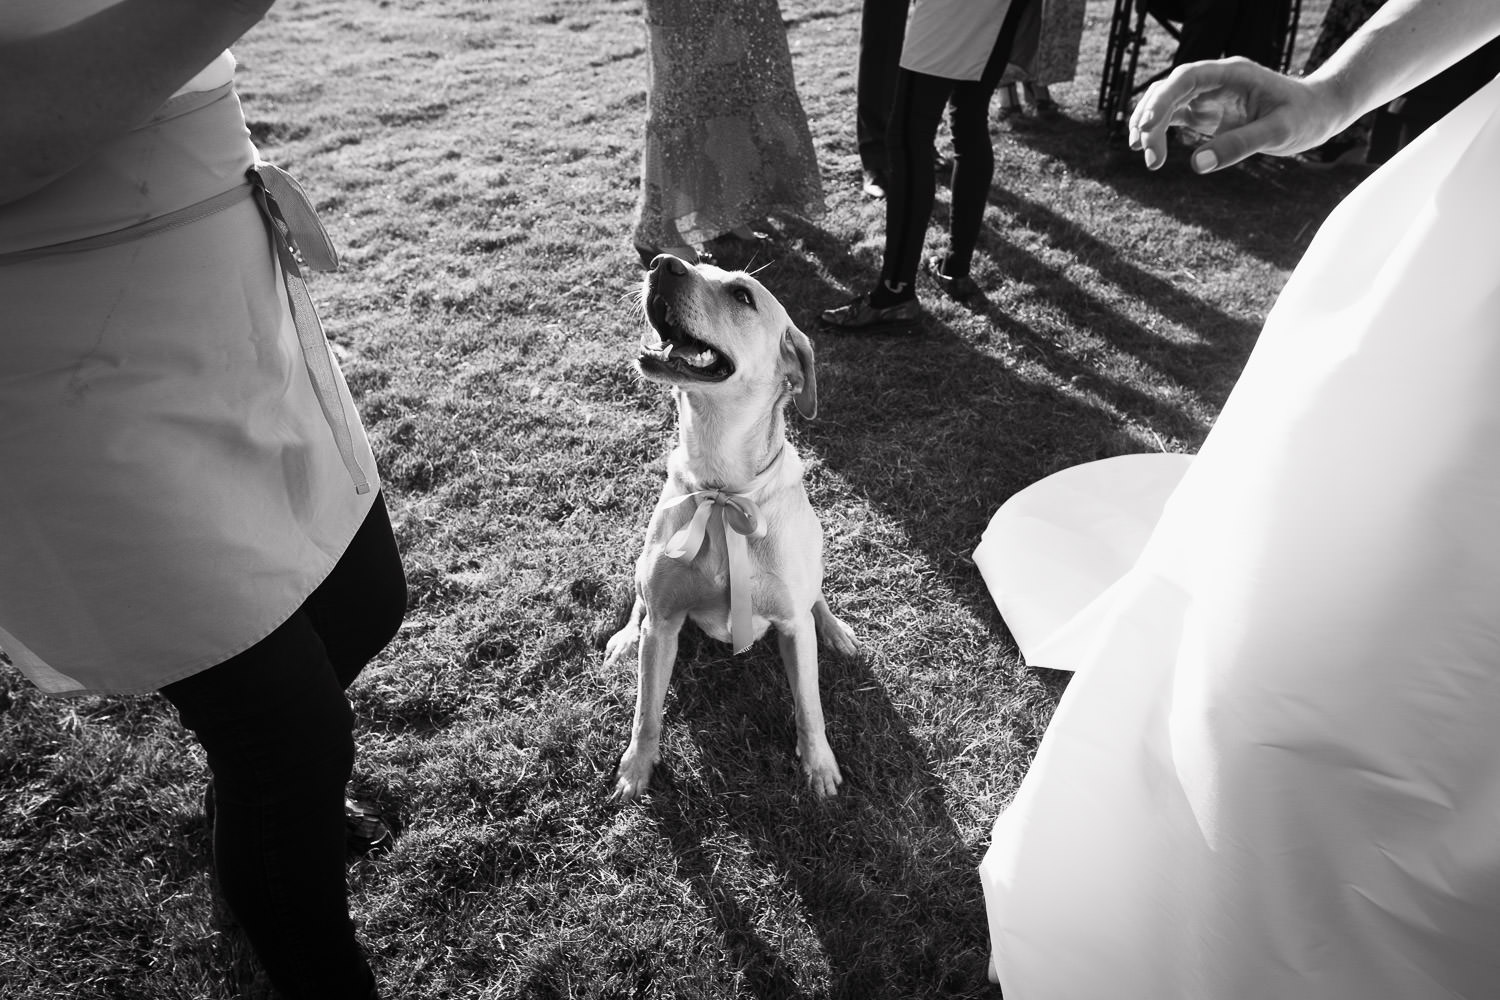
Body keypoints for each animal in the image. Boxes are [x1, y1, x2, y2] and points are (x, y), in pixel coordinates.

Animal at [600, 254, 858, 803]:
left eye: (742, 295)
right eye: (696, 263)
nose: (663, 262)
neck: (722, 486)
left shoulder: (791, 627)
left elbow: (810, 706)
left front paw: (819, 765)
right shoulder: (665, 623)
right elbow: (646, 711)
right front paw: (637, 767)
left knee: (816, 598)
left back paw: (835, 628)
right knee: (637, 604)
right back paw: (624, 638)